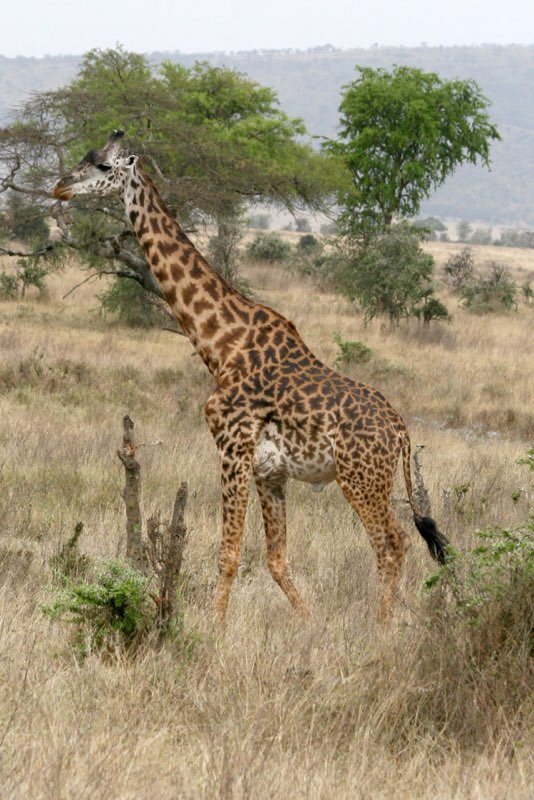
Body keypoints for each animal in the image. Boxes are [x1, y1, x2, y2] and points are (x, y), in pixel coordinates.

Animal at [53, 130, 449, 625]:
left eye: (104, 167)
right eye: (85, 157)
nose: (60, 188)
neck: (222, 344)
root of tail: (400, 430)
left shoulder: (232, 448)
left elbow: (228, 552)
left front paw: (213, 630)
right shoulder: (270, 472)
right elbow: (276, 558)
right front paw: (308, 624)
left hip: (361, 478)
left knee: (392, 544)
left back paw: (381, 629)